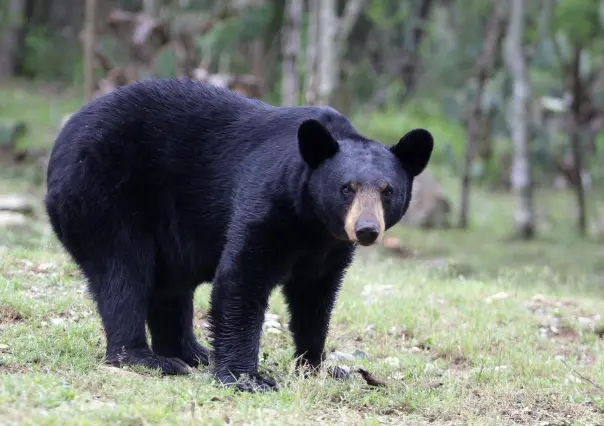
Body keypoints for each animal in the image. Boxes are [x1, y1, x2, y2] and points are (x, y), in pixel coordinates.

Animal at [44, 77, 434, 392]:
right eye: (346, 188)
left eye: (387, 190)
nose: (366, 229)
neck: (311, 222)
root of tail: (62, 138)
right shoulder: (267, 201)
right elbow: (242, 278)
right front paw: (246, 378)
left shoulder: (329, 248)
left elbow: (315, 298)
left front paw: (320, 368)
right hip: (104, 193)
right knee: (123, 271)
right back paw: (146, 357)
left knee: (168, 286)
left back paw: (192, 352)